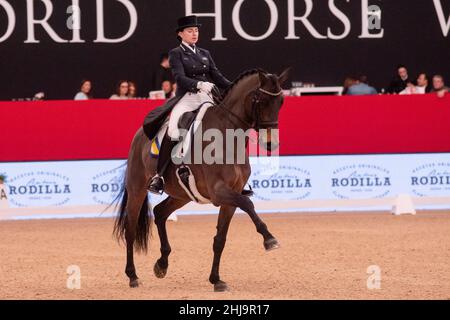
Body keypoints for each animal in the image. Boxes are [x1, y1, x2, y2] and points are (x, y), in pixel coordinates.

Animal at [112, 68, 288, 292]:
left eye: (281, 101)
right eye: (260, 100)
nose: (271, 143)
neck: (227, 137)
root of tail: (139, 135)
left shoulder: (230, 197)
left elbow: (220, 239)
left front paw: (216, 280)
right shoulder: (219, 191)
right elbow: (248, 203)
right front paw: (269, 239)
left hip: (182, 194)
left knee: (160, 213)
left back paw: (162, 264)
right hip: (137, 189)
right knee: (131, 229)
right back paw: (133, 276)